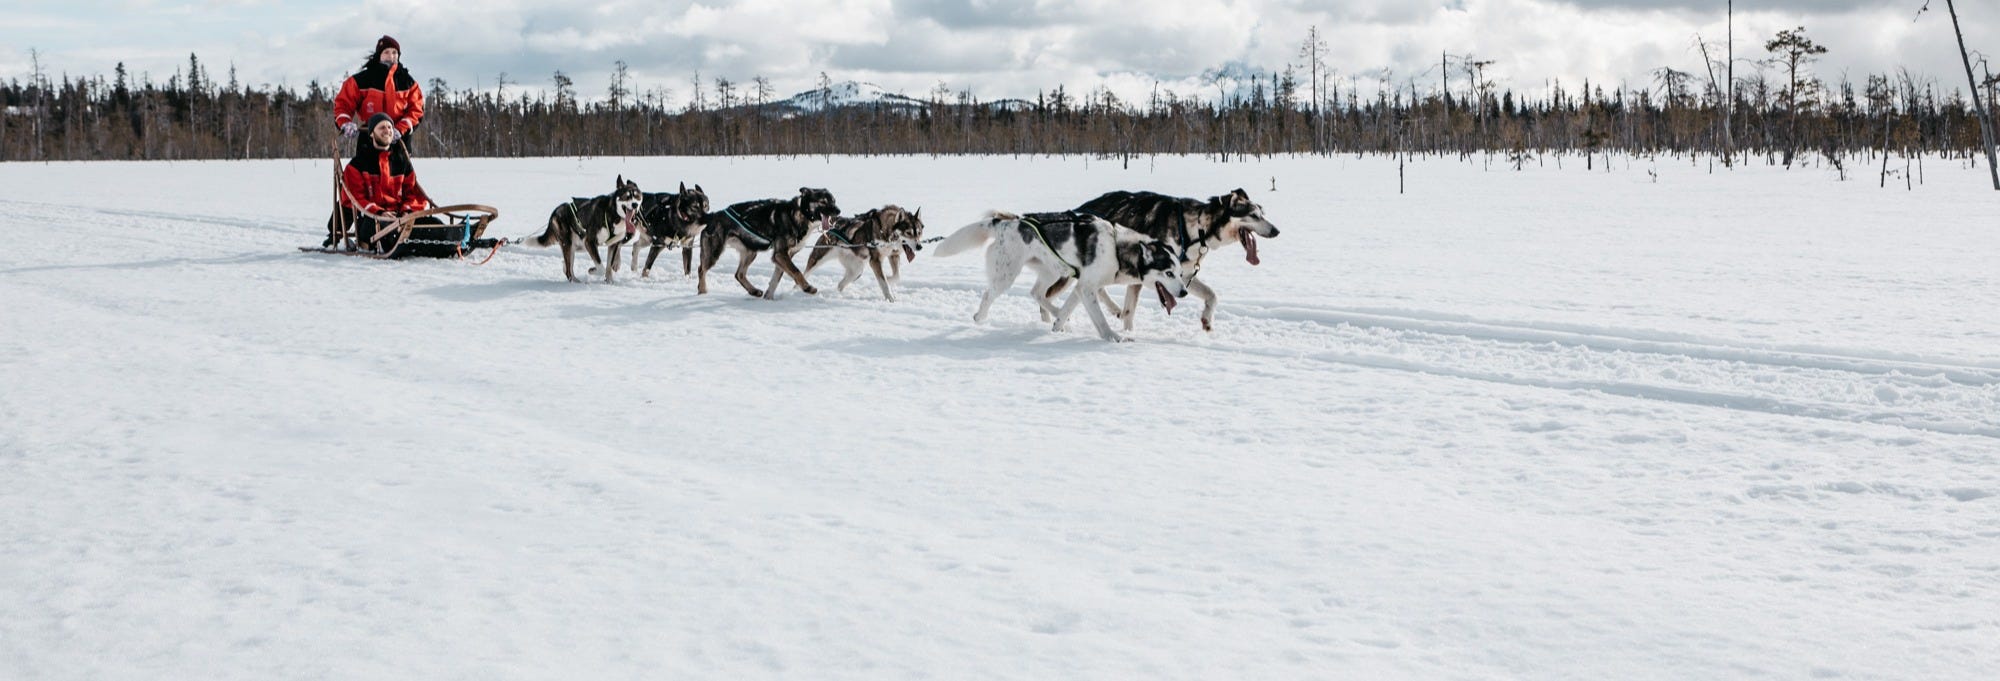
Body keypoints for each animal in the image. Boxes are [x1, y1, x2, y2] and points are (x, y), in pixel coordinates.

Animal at [700, 189, 840, 300]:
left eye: (834, 201)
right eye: (823, 202)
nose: (839, 211)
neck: (798, 214)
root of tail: (713, 215)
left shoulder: (782, 257)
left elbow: (775, 280)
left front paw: (768, 298)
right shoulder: (781, 254)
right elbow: (797, 271)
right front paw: (808, 288)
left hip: (751, 252)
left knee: (739, 274)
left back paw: (754, 291)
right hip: (714, 252)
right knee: (701, 269)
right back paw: (702, 292)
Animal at [932, 210, 1184, 342]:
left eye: (1181, 273)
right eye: (1168, 273)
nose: (1183, 291)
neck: (1117, 248)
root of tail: (1004, 223)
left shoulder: (1082, 286)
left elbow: (1069, 307)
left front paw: (1057, 326)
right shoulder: (1087, 288)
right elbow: (1100, 320)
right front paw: (1114, 337)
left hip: (1052, 271)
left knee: (1037, 293)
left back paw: (1057, 316)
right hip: (1007, 275)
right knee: (988, 295)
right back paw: (980, 319)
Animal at [1064, 189, 1280, 332]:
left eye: (1262, 214)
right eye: (1253, 215)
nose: (1276, 231)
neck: (1197, 230)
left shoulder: (1182, 276)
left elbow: (1212, 295)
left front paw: (1207, 320)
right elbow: (1130, 310)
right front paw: (1128, 334)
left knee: (1098, 288)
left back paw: (1113, 309)